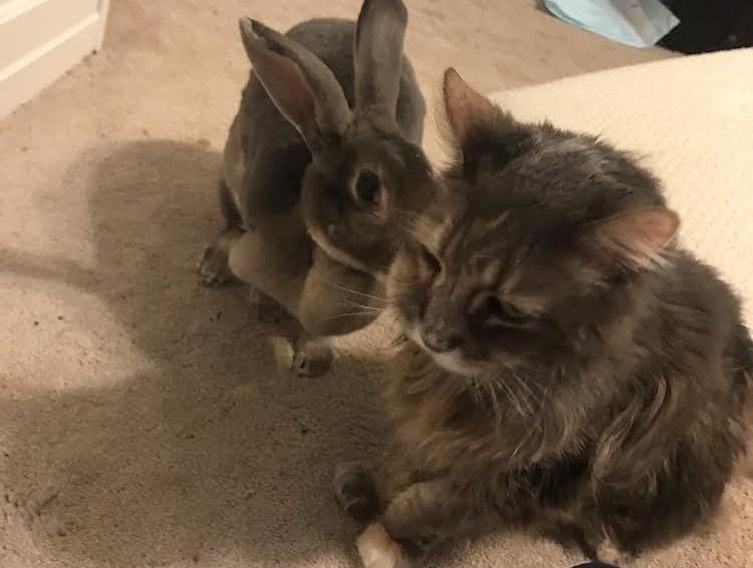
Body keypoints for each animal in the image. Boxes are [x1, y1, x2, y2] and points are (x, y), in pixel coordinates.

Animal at [197, 0, 434, 376]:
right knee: (230, 225)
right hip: (231, 171)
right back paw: (212, 268)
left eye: (432, 177)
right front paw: (265, 310)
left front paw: (314, 361)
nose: (426, 270)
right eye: (368, 187)